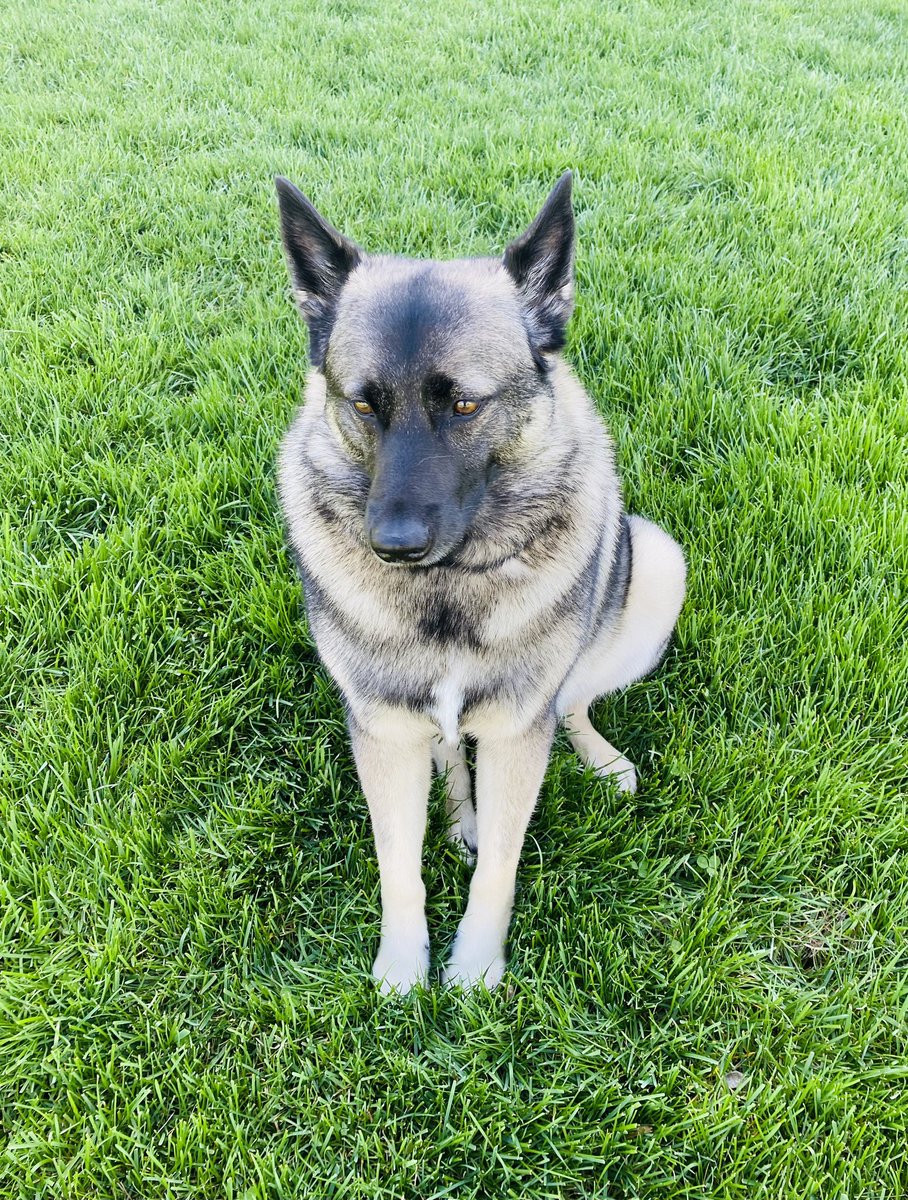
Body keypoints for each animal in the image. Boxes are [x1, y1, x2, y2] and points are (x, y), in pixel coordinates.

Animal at [272, 169, 681, 993]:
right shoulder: (386, 732)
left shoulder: (518, 731)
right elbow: (399, 866)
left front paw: (475, 967)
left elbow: (500, 863)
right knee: (452, 755)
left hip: (655, 566)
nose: (393, 546)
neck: (447, 590)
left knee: (575, 699)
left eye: (464, 404)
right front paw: (403, 972)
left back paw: (600, 759)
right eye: (362, 403)